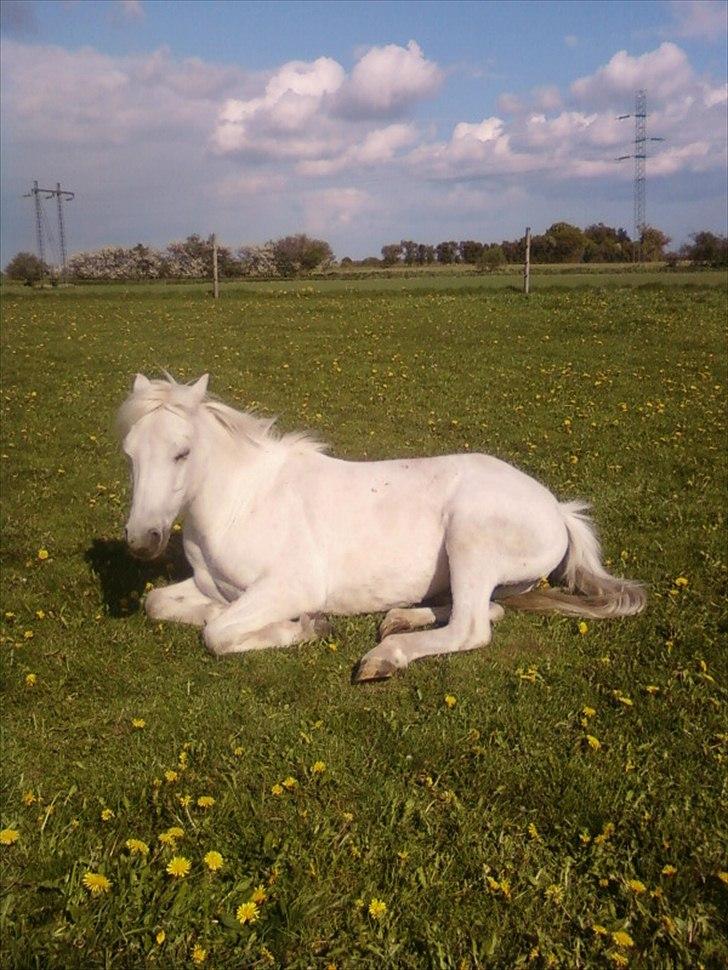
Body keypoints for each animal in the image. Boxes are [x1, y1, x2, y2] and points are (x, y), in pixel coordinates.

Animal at [116, 372, 644, 680]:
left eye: (182, 452)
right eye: (129, 453)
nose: (143, 541)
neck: (242, 503)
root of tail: (558, 508)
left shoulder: (291, 586)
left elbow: (219, 634)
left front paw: (306, 626)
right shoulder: (211, 585)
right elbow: (160, 604)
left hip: (470, 539)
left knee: (471, 626)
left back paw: (384, 657)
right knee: (484, 609)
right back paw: (399, 618)